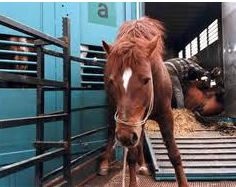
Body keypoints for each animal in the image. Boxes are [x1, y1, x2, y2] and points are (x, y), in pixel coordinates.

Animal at [98, 17, 189, 187]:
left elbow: (174, 153)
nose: (125, 136)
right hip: (113, 112)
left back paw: (142, 165)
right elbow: (131, 155)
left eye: (147, 80)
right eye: (111, 82)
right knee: (112, 133)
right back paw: (105, 164)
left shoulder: (166, 115)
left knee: (139, 140)